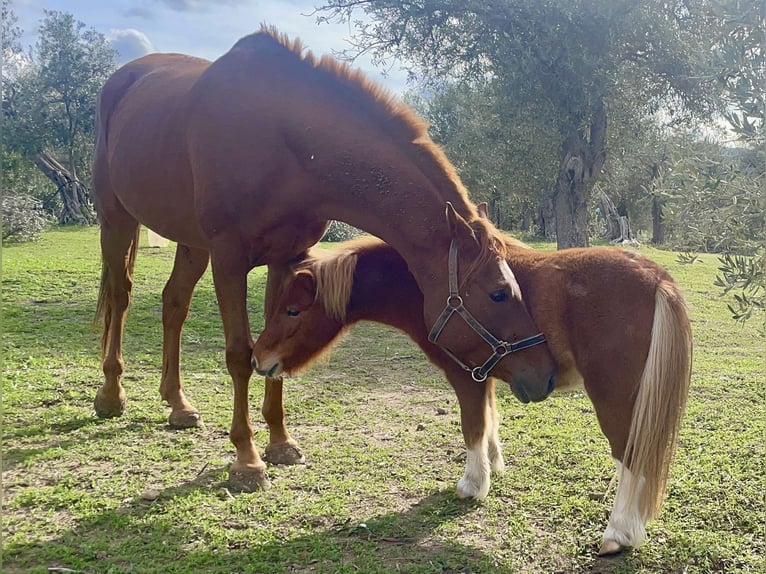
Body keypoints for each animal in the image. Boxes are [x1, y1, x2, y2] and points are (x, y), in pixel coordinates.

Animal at [92, 26, 557, 491]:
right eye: (498, 293)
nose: (546, 374)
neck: (283, 137)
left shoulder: (287, 257)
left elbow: (272, 347)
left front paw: (280, 442)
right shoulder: (229, 259)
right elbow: (242, 355)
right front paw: (247, 460)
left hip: (192, 244)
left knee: (174, 303)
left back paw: (177, 403)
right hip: (117, 220)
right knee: (120, 296)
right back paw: (111, 394)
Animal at [251, 221, 692, 555]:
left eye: (292, 310)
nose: (259, 358)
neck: (432, 286)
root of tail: (657, 277)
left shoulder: (465, 375)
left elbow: (473, 426)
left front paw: (472, 485)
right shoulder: (487, 375)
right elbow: (491, 420)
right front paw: (494, 466)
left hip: (613, 397)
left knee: (630, 456)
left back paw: (619, 534)